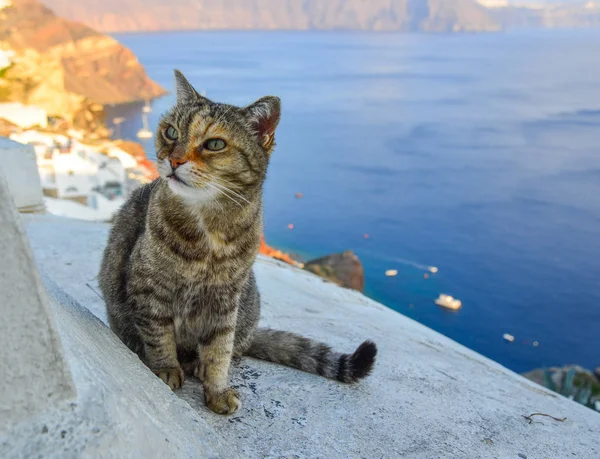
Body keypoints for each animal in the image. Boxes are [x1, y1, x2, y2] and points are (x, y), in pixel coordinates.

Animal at [100, 69, 378, 416]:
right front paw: (166, 367)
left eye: (215, 144)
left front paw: (216, 389)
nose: (173, 160)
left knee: (235, 348)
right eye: (171, 132)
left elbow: (219, 350)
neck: (209, 230)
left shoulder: (224, 301)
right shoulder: (148, 287)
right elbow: (158, 334)